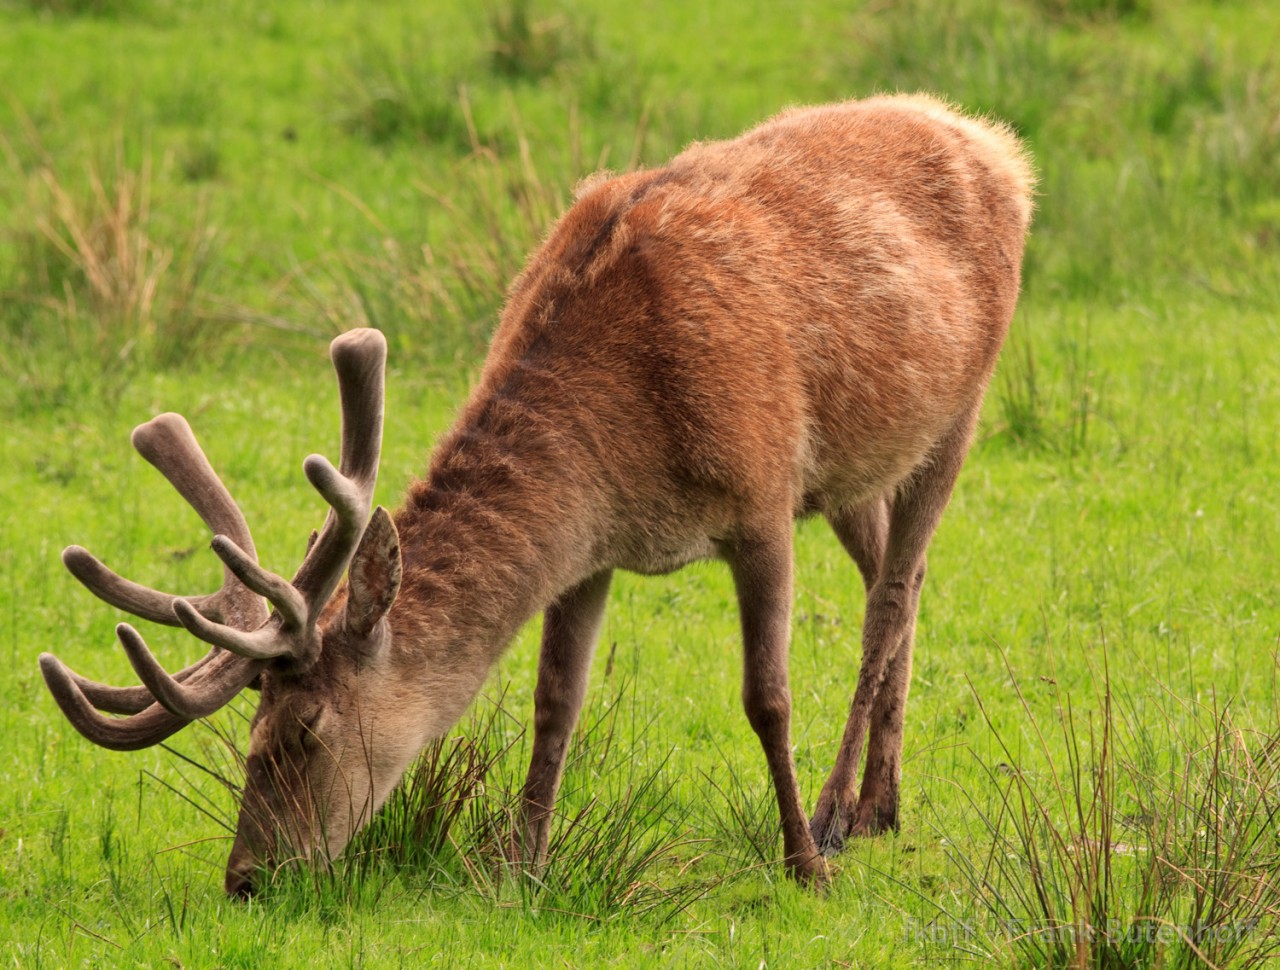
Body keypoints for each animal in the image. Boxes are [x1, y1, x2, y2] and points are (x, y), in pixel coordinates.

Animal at [40, 94, 1034, 900]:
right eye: (255, 725)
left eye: (306, 730)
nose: (246, 878)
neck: (628, 437)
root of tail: (996, 144)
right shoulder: (590, 554)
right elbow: (555, 704)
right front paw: (521, 868)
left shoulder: (761, 498)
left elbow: (767, 697)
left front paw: (801, 864)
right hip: (853, 471)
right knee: (898, 585)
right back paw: (882, 804)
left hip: (961, 408)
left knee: (891, 599)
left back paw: (836, 817)